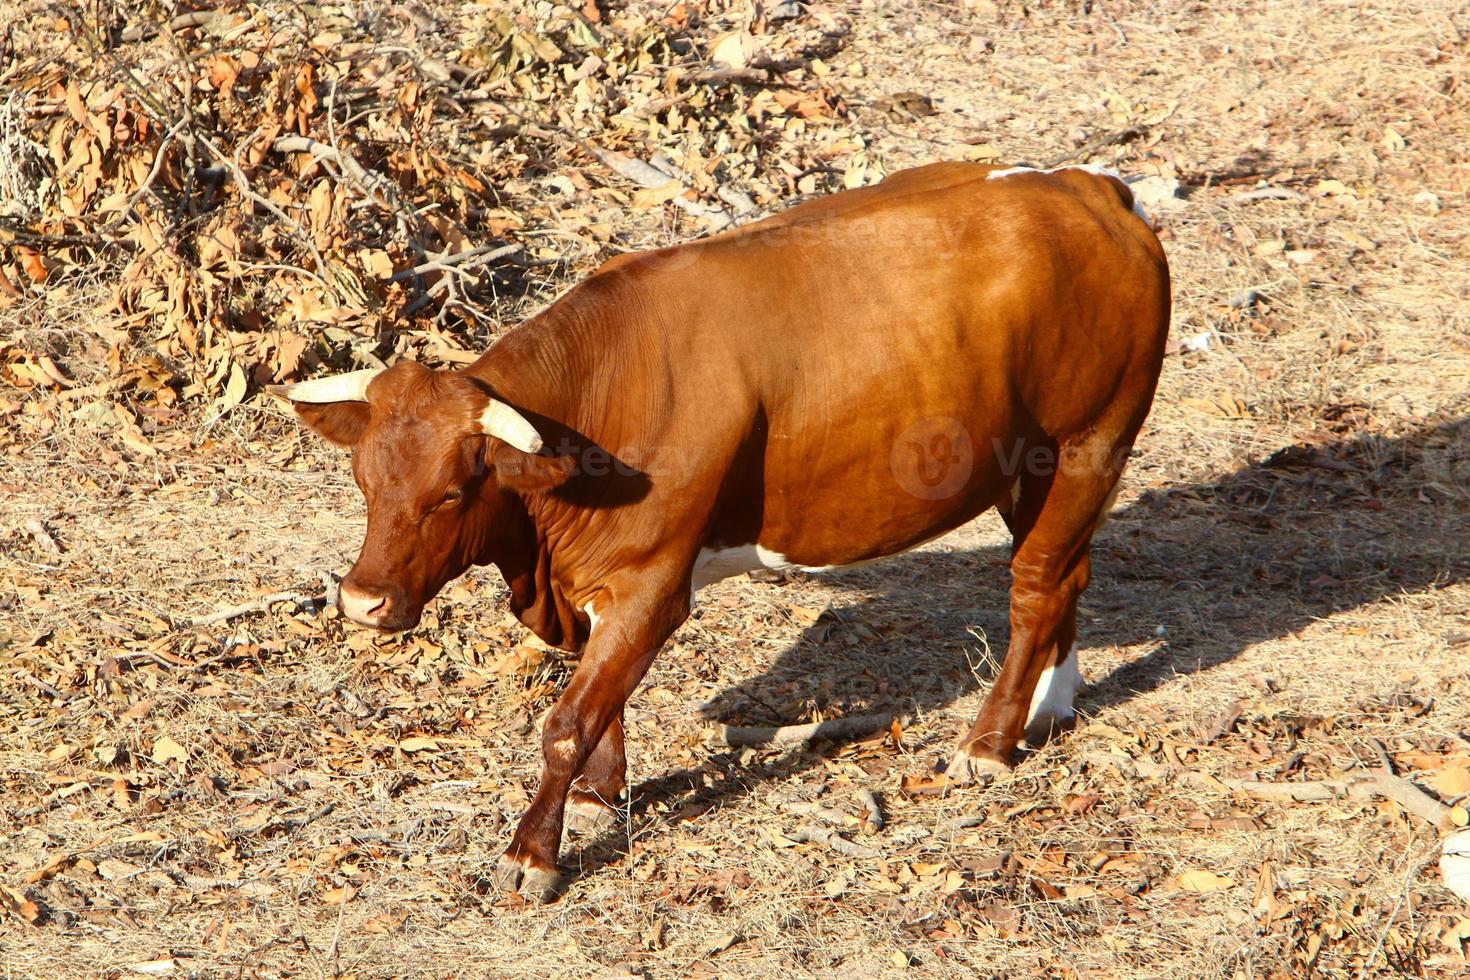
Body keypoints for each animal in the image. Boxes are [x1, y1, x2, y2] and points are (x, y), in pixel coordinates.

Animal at [273, 163, 1170, 905]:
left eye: (454, 492)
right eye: (364, 481)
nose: (361, 602)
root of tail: (1087, 189)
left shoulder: (654, 581)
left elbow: (566, 722)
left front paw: (532, 854)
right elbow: (600, 701)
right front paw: (602, 791)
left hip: (1087, 445)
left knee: (1036, 587)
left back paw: (990, 742)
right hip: (1035, 475)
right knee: (1067, 574)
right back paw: (1052, 706)